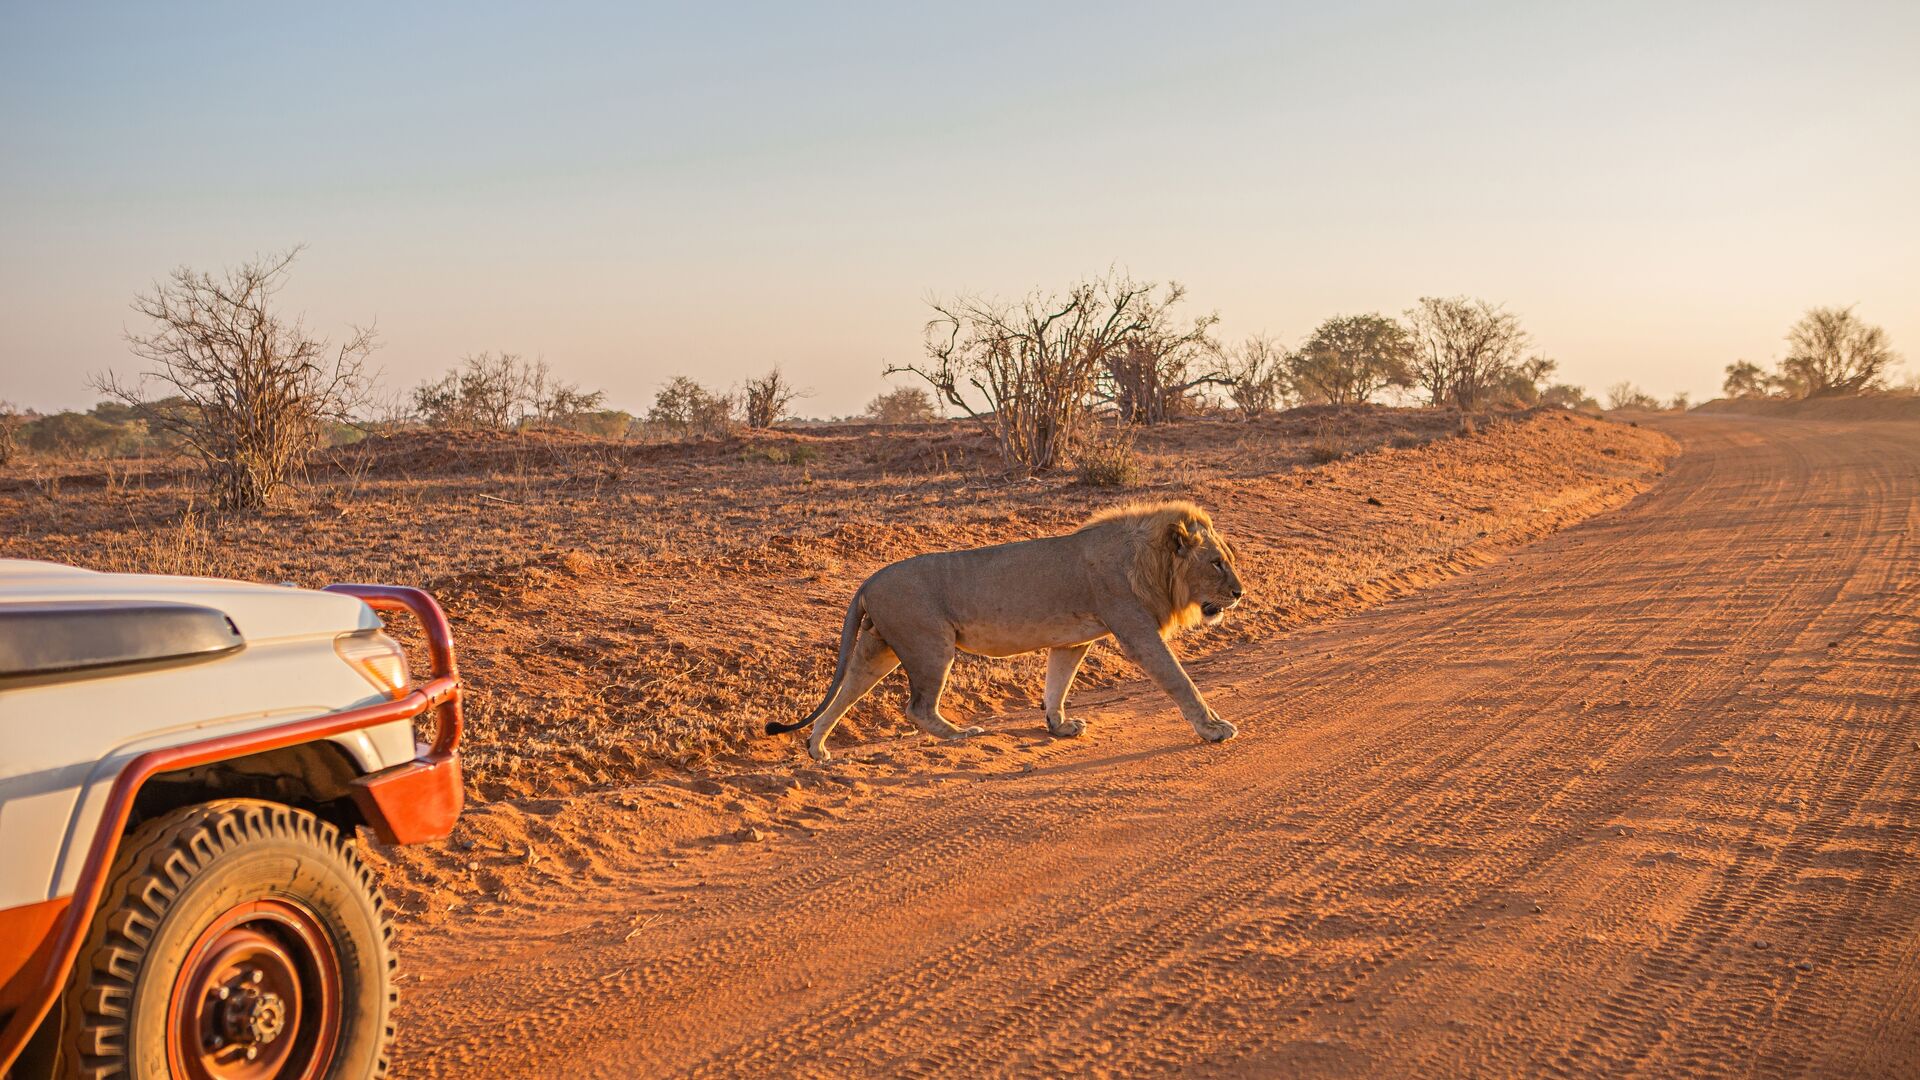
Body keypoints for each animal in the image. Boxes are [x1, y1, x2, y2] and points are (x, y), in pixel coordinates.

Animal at [765, 499, 1246, 762]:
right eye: (1216, 563)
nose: (1239, 593)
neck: (1150, 562)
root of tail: (869, 580)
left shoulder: (1073, 641)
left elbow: (1057, 684)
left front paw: (1059, 726)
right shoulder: (1136, 631)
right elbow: (1180, 681)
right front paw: (1213, 728)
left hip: (878, 647)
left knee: (844, 693)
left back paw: (817, 748)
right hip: (930, 644)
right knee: (917, 707)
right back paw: (961, 734)